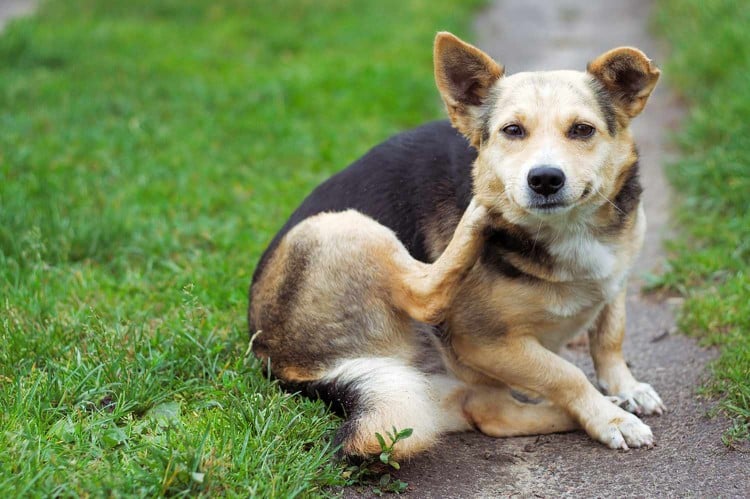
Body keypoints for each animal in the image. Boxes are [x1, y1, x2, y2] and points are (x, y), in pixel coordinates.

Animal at [250, 32, 668, 460]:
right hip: (343, 225)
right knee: (425, 296)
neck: (570, 228)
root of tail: (281, 363)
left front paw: (624, 390)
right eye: (512, 130)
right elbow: (565, 374)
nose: (544, 179)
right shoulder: (483, 341)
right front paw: (609, 418)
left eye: (582, 130)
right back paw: (481, 210)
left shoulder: (616, 277)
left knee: (491, 413)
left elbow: (610, 336)